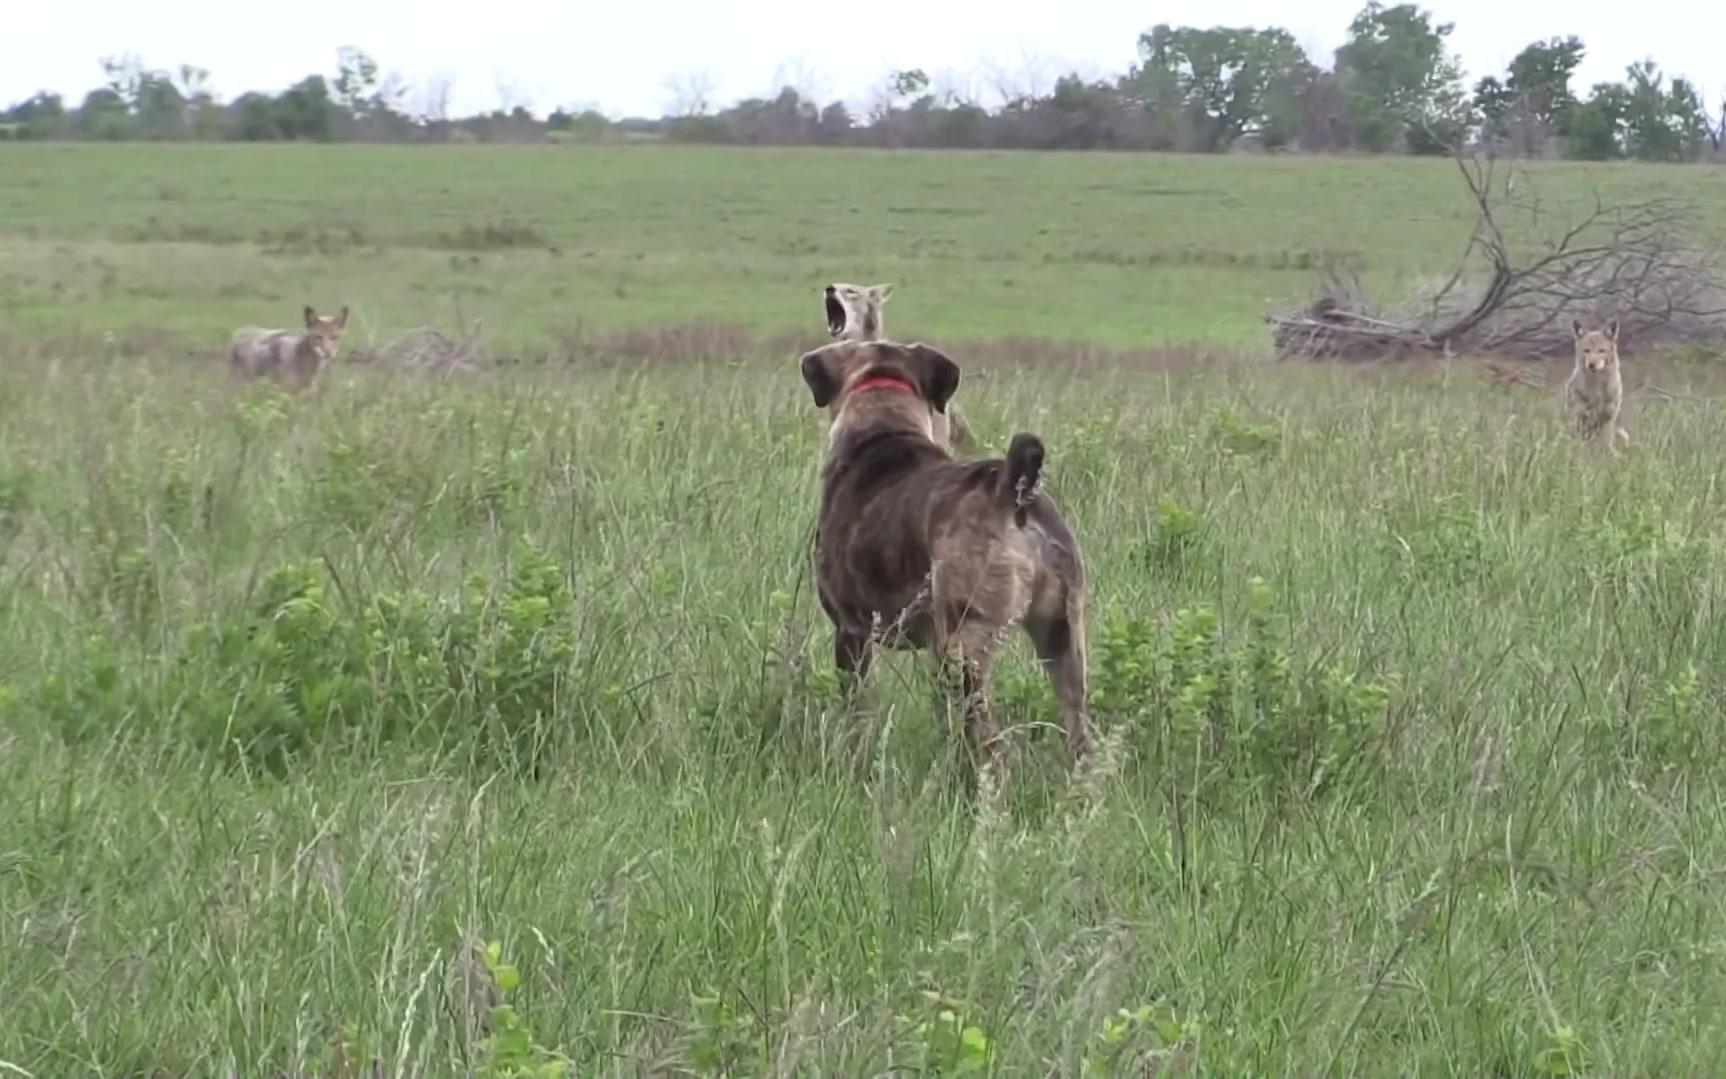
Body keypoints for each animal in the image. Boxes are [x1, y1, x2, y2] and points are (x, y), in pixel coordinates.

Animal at [797, 338, 1090, 783]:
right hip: (1063, 639)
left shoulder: (851, 633)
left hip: (963, 649)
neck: (885, 429)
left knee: (994, 746)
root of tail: (1013, 494)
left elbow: (858, 716)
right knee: (1080, 738)